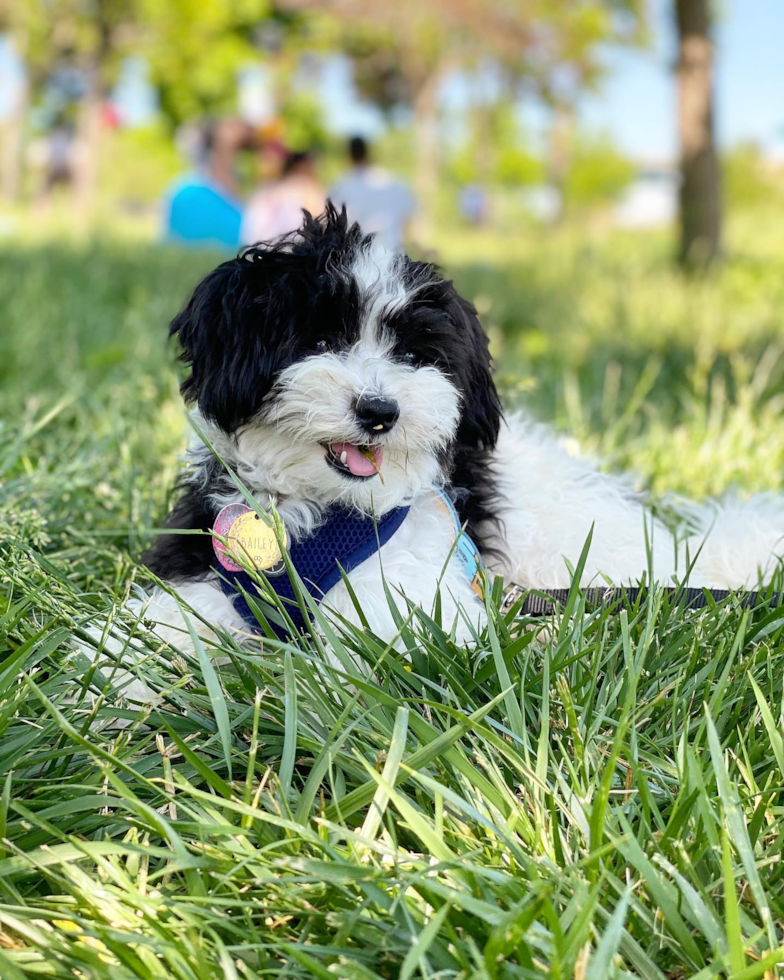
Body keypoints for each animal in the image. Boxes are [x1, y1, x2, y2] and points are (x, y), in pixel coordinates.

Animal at [138, 206, 784, 652]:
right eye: (318, 341)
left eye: (413, 355)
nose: (380, 411)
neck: (325, 509)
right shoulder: (201, 564)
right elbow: (155, 638)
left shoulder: (407, 591)